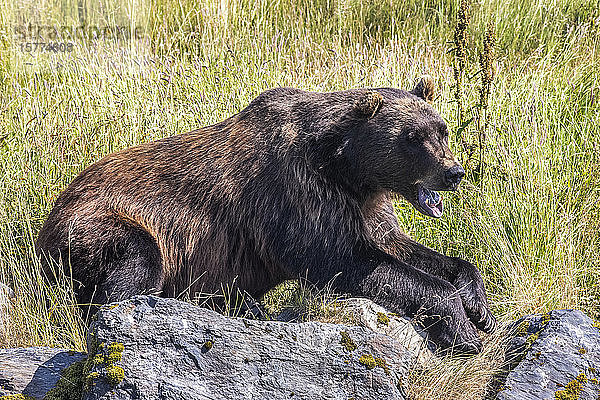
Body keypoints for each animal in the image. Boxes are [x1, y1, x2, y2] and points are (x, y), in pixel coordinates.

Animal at [38, 79, 496, 354]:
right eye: (412, 138)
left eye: (442, 129)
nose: (453, 172)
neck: (345, 167)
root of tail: (48, 219)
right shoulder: (296, 194)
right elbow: (345, 260)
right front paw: (463, 330)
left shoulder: (365, 207)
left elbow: (400, 247)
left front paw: (479, 306)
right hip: (99, 225)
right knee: (133, 265)